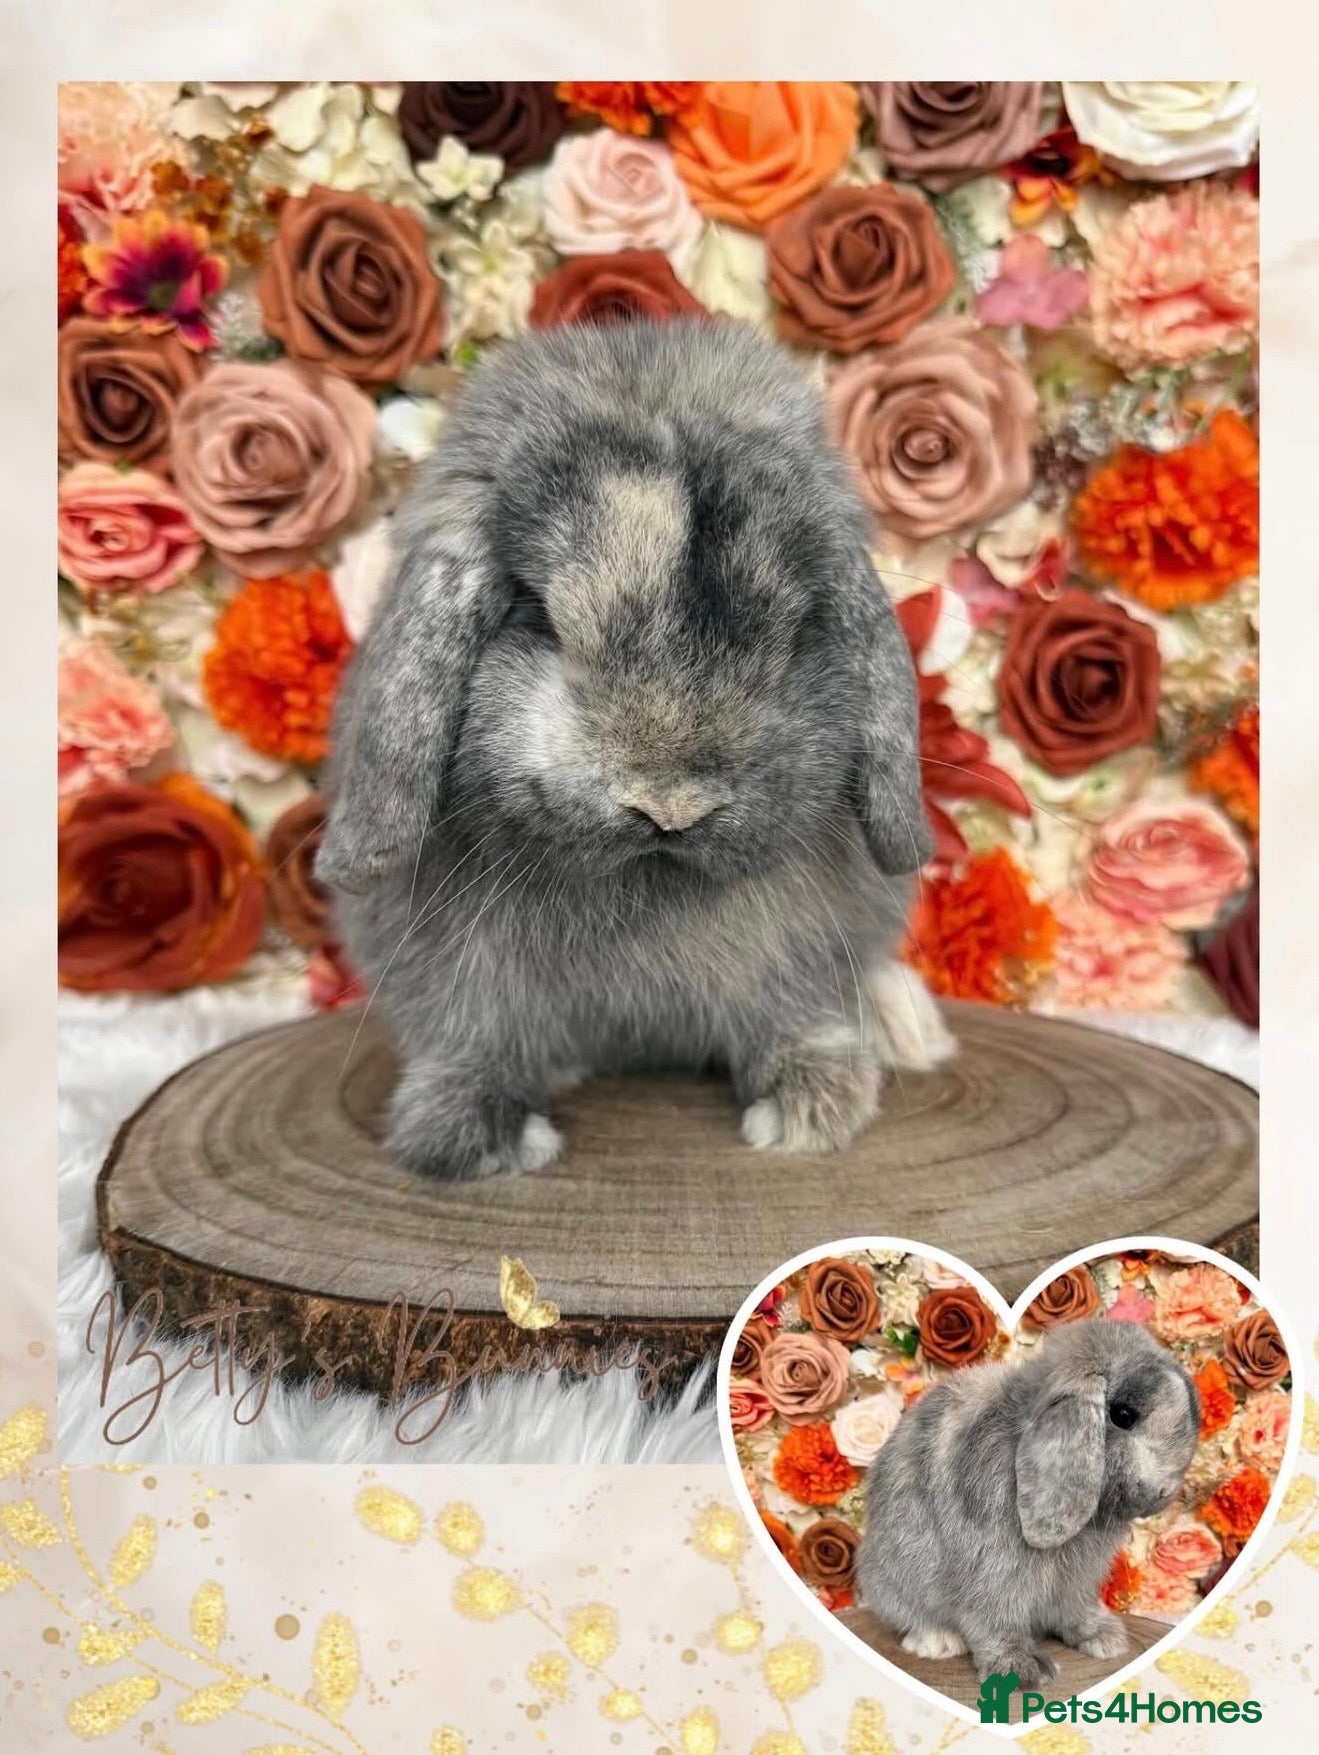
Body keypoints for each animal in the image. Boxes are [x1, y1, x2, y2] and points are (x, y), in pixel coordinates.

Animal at [317, 316, 954, 1181]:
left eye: (794, 628)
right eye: (538, 615)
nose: (669, 805)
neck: (647, 877)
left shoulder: (795, 959)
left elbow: (791, 1014)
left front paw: (811, 1106)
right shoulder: (454, 975)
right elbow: (471, 1036)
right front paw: (475, 1137)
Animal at [855, 1317, 1200, 1689]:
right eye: (1123, 1415)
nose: (1165, 1491)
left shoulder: (1078, 1579)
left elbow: (1076, 1608)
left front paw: (1104, 1638)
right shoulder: (992, 1568)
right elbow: (993, 1619)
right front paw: (1022, 1671)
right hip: (895, 1581)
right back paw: (938, 1642)